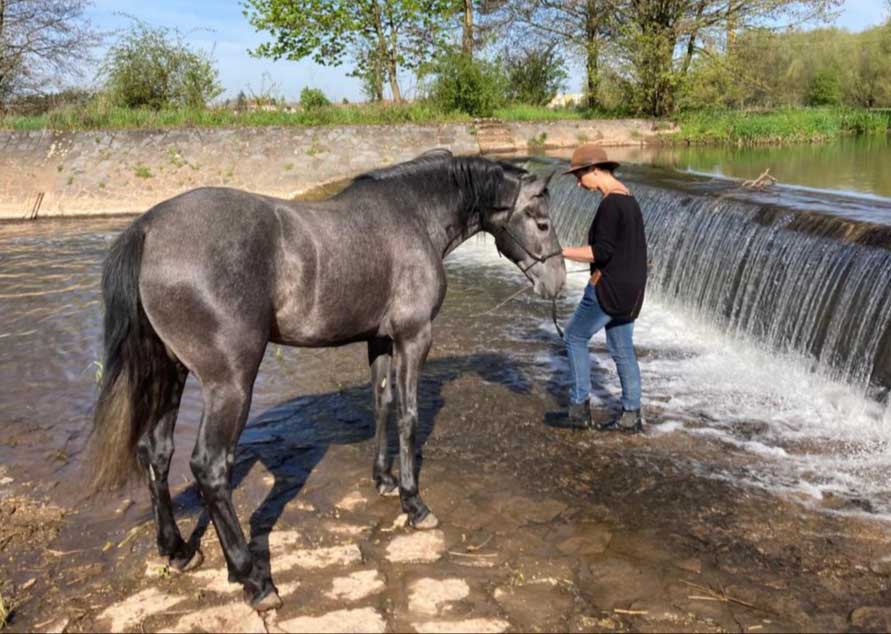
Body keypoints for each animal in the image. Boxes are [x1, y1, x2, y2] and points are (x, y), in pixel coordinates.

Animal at [89, 149, 564, 608]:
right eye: (541, 221)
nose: (557, 282)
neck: (412, 216)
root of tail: (148, 228)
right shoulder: (414, 337)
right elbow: (409, 415)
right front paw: (413, 502)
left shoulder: (380, 340)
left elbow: (382, 404)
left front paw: (384, 480)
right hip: (230, 383)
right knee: (210, 466)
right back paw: (253, 579)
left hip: (171, 371)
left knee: (156, 451)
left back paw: (178, 550)